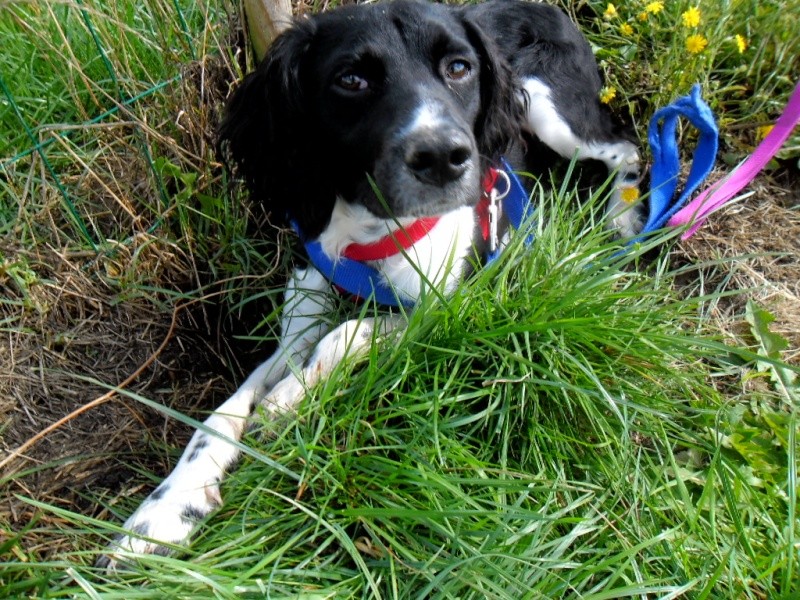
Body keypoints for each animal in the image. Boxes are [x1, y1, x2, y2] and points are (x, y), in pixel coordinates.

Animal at [97, 0, 644, 572]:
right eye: (351, 79)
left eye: (459, 67)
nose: (443, 157)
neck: (370, 234)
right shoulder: (302, 309)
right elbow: (224, 413)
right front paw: (162, 514)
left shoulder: (455, 304)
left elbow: (350, 332)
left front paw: (290, 398)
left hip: (551, 110)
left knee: (624, 146)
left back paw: (624, 218)